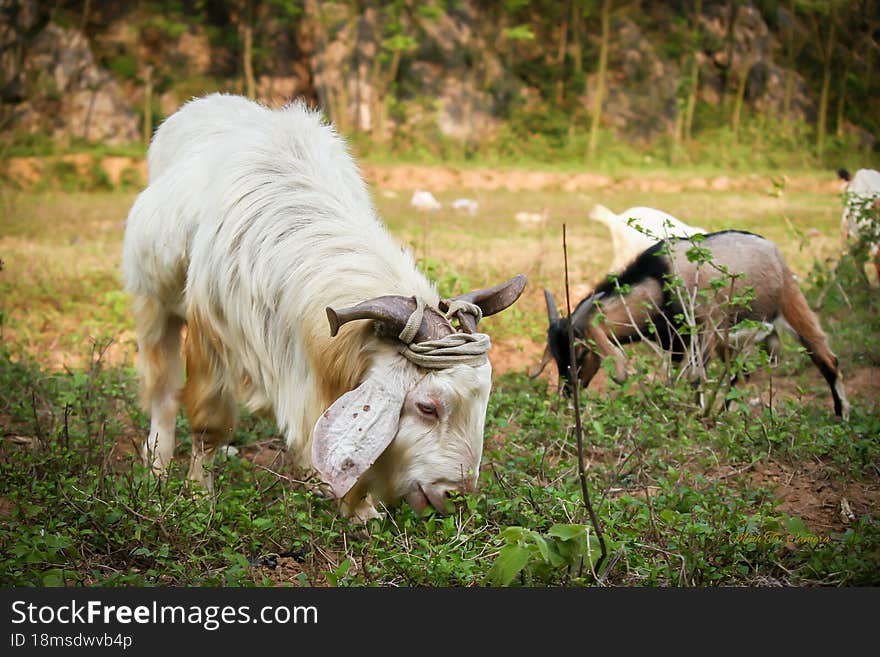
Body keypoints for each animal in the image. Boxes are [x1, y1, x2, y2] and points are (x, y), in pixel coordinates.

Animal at [532, 228, 848, 418]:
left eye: (581, 351)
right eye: (557, 356)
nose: (567, 391)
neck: (659, 279)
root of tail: (771, 247)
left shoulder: (707, 324)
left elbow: (696, 375)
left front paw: (696, 416)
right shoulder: (674, 340)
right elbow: (675, 375)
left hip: (789, 300)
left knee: (825, 356)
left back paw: (842, 413)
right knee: (737, 367)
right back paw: (724, 410)